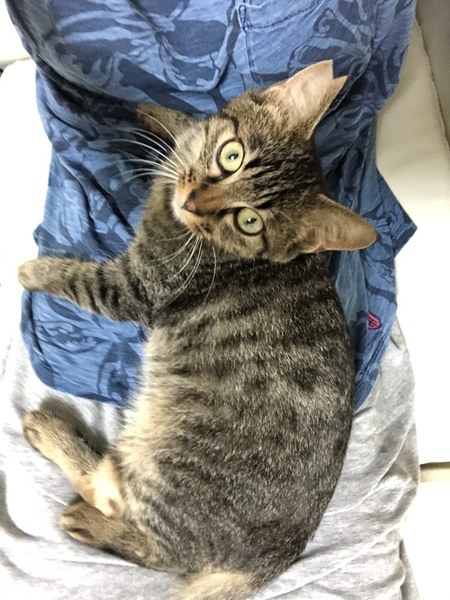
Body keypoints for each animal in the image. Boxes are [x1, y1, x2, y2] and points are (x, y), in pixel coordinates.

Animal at [19, 60, 376, 600]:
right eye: (232, 156)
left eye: (249, 221)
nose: (193, 201)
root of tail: (276, 558)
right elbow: (185, 127)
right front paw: (158, 116)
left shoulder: (134, 288)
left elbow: (77, 278)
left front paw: (32, 271)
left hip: (170, 468)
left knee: (130, 519)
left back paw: (60, 456)